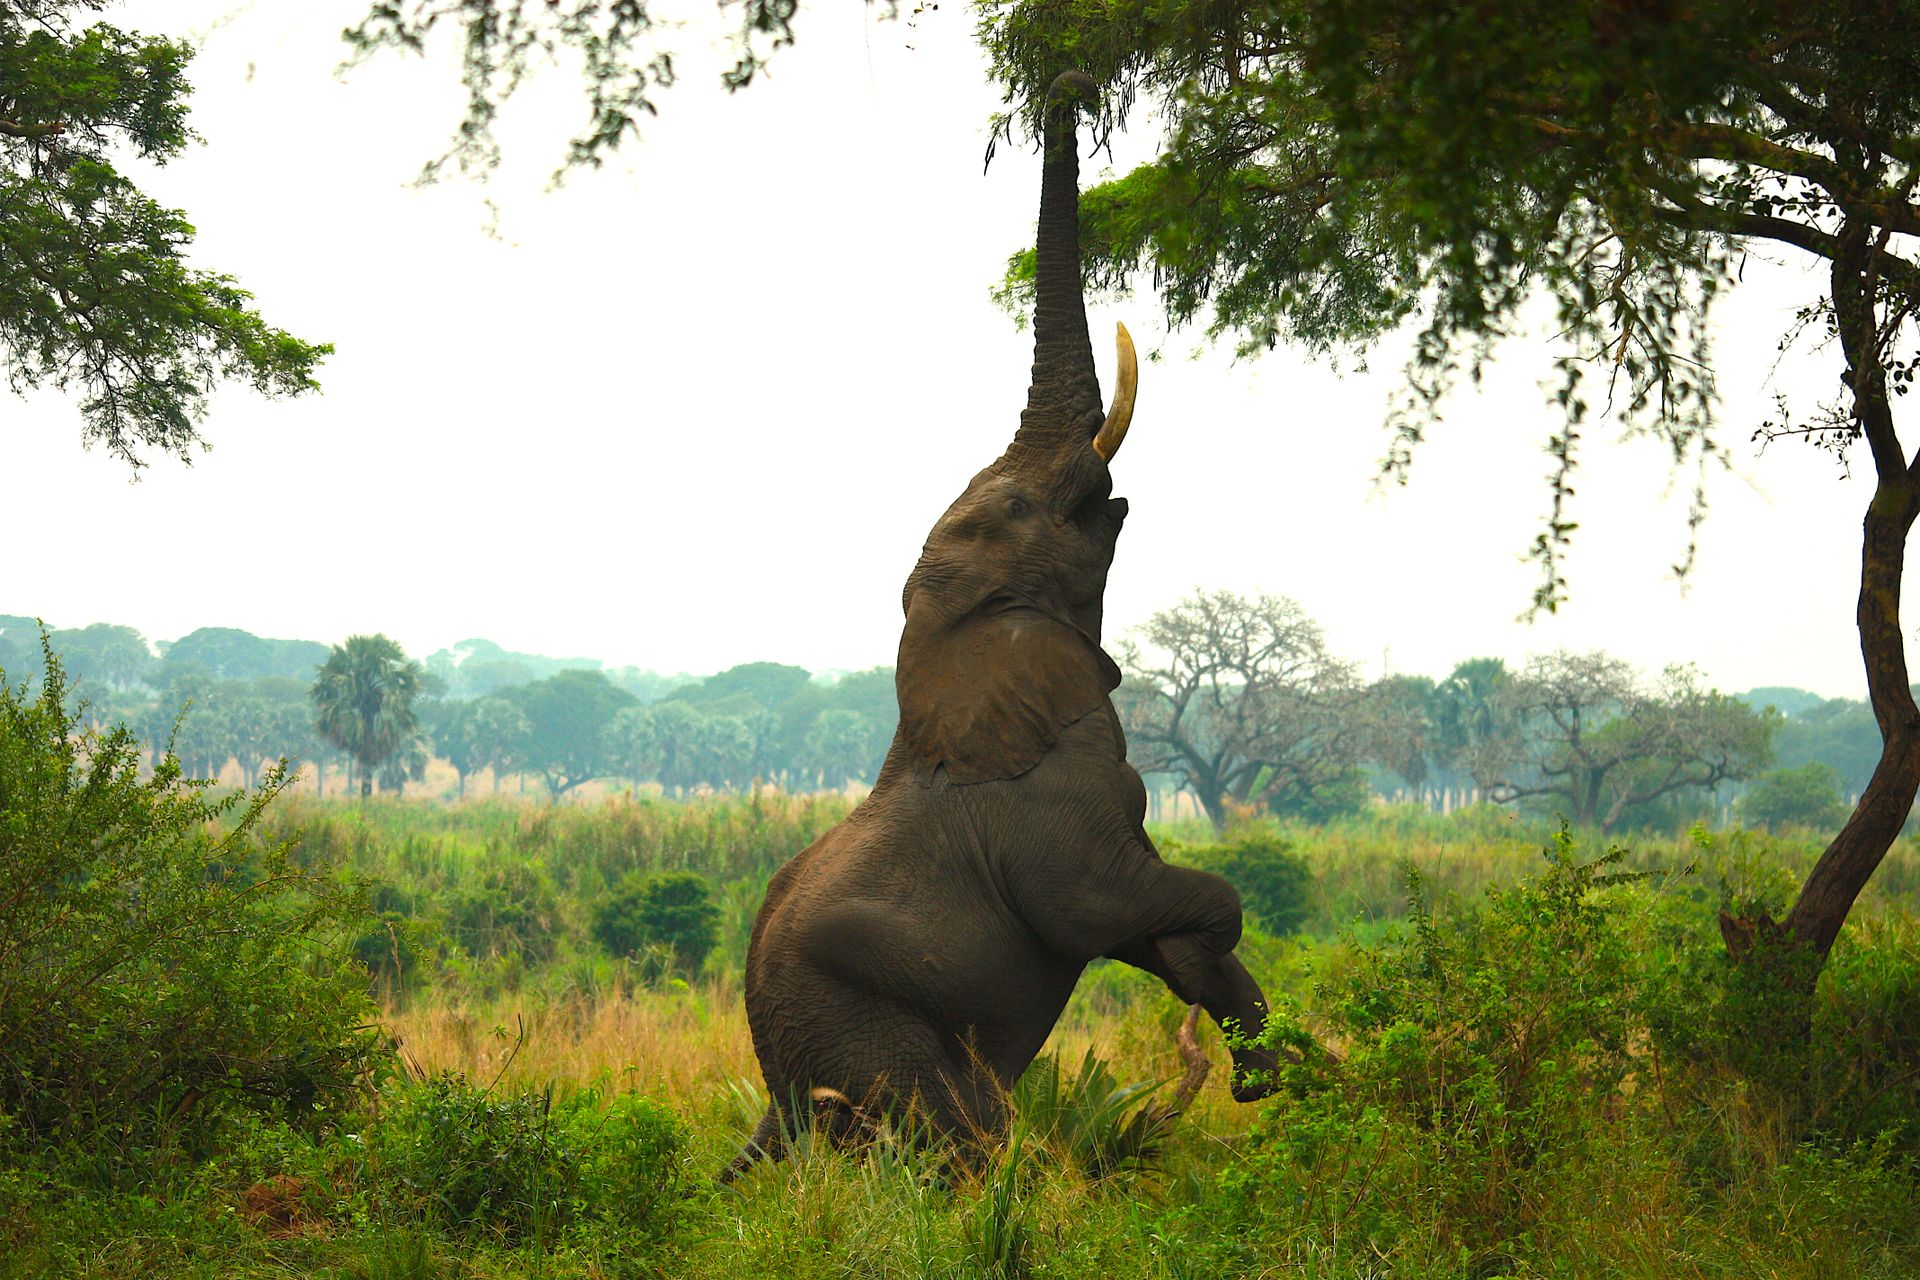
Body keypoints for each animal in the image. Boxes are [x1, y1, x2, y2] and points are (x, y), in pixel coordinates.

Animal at [725, 71, 1280, 1180]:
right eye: (1022, 506)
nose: (1071, 82)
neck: (950, 634)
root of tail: (775, 1088)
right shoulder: (1050, 814)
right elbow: (1117, 905)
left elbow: (1151, 925)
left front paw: (1267, 1057)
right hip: (868, 1030)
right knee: (967, 1142)